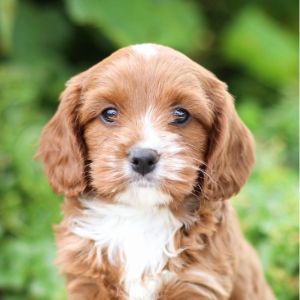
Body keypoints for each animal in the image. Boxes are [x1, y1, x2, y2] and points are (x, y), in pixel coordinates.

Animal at [36, 42, 276, 300]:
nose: (143, 158)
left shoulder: (199, 283)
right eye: (109, 113)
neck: (141, 214)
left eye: (181, 114)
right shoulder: (86, 282)